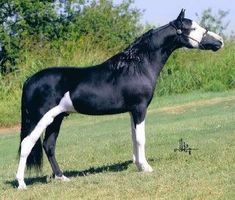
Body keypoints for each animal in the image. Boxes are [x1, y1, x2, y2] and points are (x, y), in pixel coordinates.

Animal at [16, 9, 222, 188]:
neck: (137, 67)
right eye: (192, 28)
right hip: (41, 119)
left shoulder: (132, 111)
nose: (219, 41)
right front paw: (146, 168)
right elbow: (141, 138)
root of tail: (29, 80)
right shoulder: (140, 108)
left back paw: (62, 177)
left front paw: (139, 165)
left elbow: (133, 137)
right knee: (27, 144)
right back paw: (21, 184)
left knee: (49, 146)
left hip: (56, 119)